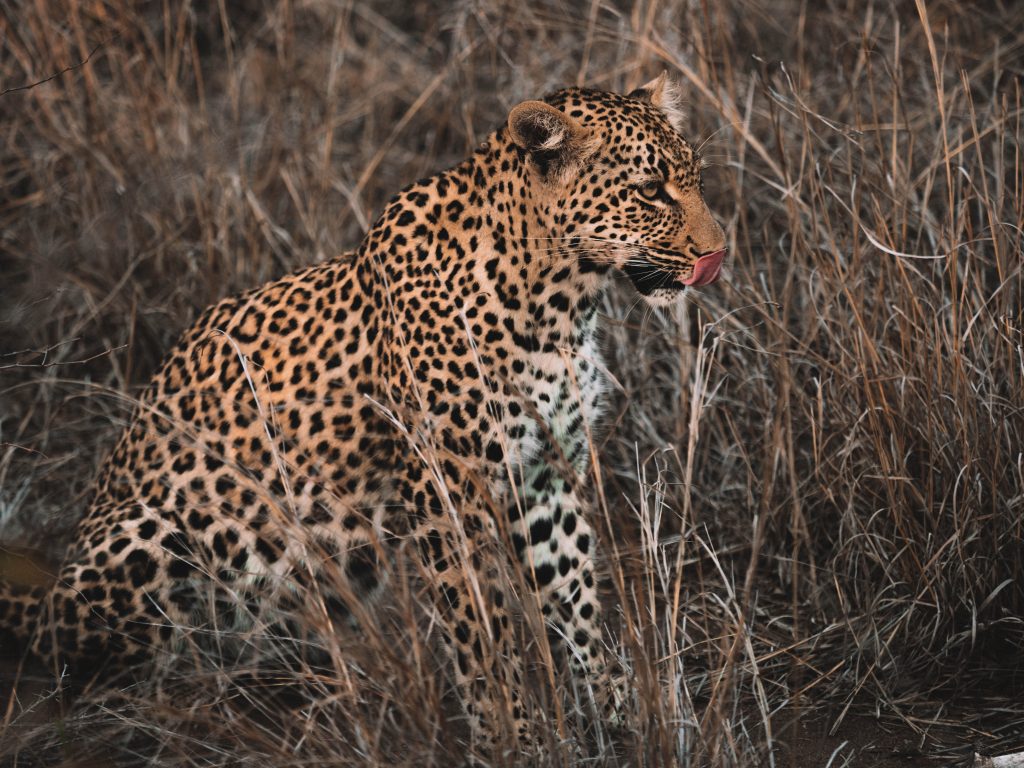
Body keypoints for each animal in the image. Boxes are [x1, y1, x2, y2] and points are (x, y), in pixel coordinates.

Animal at [0, 73, 727, 758]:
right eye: (651, 190)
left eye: (694, 178)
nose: (718, 254)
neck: (560, 300)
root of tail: (47, 596)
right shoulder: (448, 491)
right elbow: (483, 634)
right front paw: (512, 742)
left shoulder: (546, 475)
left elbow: (574, 605)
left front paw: (621, 717)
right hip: (156, 532)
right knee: (109, 666)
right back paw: (189, 703)